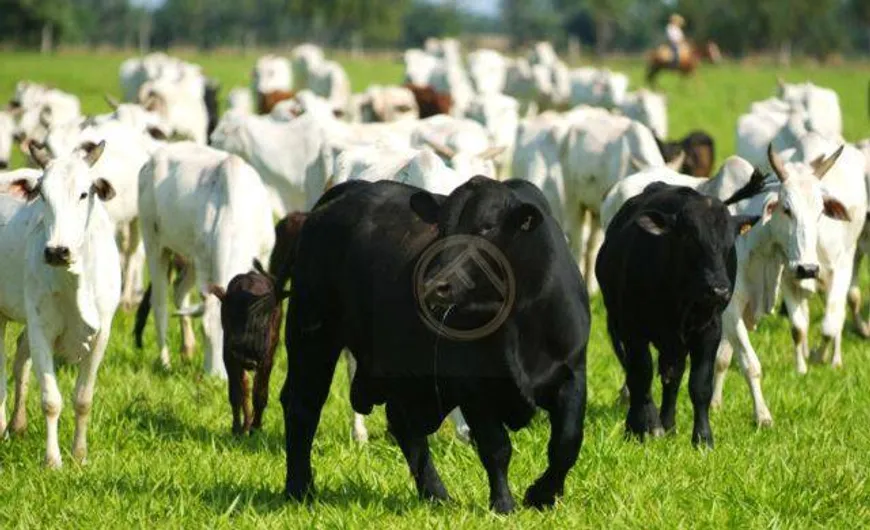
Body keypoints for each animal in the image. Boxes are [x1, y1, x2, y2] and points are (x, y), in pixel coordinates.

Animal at [0, 142, 121, 464]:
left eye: (84, 193)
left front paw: (79, 455)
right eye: (42, 194)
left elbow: (83, 399)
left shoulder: (102, 334)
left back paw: (17, 425)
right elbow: (51, 400)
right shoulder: (41, 328)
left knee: (20, 361)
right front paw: (52, 460)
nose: (57, 251)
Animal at [138, 142, 274, 378]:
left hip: (188, 258)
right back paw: (165, 363)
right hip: (154, 242)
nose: (215, 378)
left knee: (179, 289)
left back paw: (187, 350)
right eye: (205, 331)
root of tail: (152, 159)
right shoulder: (204, 266)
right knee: (160, 303)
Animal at [280, 177, 592, 512]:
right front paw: (504, 505)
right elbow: (496, 447)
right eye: (442, 228)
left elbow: (567, 442)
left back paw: (436, 494)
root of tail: (351, 189)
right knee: (302, 406)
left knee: (404, 425)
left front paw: (542, 495)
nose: (434, 285)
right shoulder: (473, 387)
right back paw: (299, 489)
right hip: (311, 336)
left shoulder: (572, 371)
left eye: (486, 228)